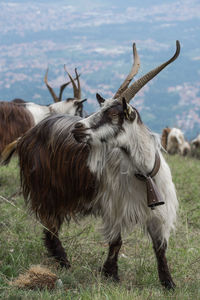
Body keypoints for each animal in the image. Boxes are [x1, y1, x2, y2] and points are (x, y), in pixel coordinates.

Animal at [0, 41, 180, 290]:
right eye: (100, 109)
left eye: (113, 114)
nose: (77, 128)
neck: (143, 175)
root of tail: (27, 135)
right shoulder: (115, 206)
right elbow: (116, 241)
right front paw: (111, 275)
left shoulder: (158, 213)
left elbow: (160, 248)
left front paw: (168, 283)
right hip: (47, 189)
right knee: (50, 228)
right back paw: (64, 262)